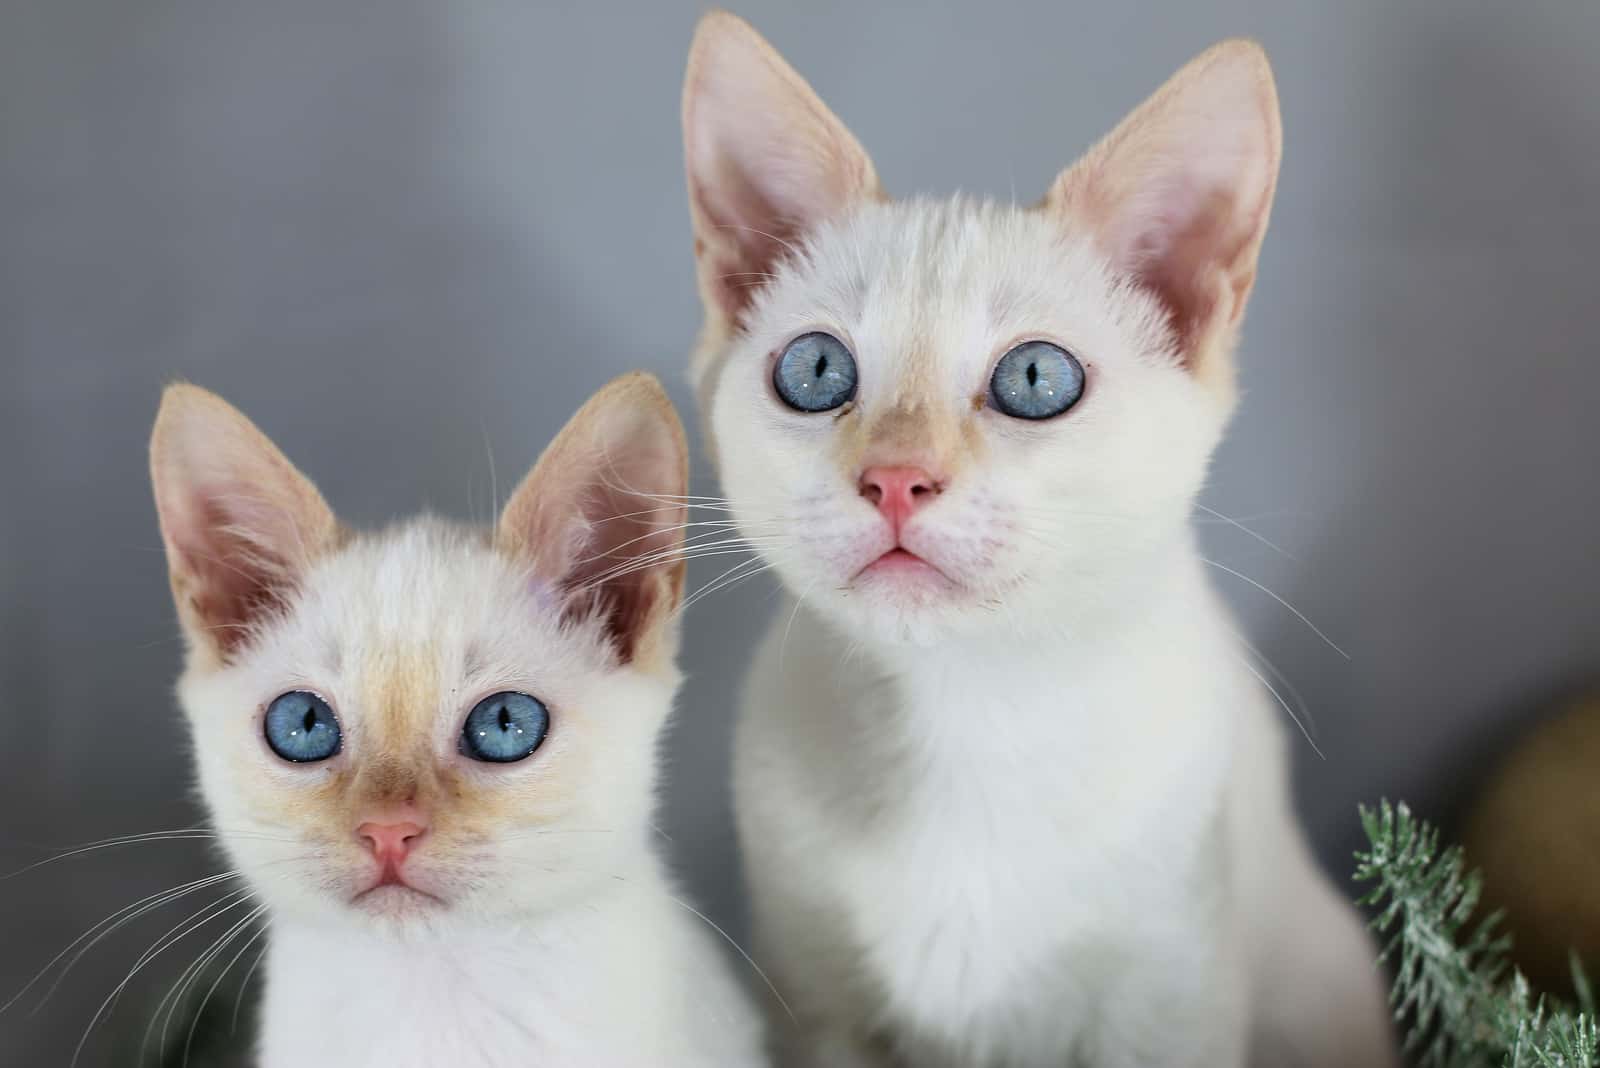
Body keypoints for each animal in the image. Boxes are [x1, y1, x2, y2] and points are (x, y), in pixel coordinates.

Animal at [681, 14, 1395, 1068]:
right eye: (815, 371)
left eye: (1033, 380)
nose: (897, 478)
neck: (967, 715)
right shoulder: (813, 1002)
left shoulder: (1167, 998)